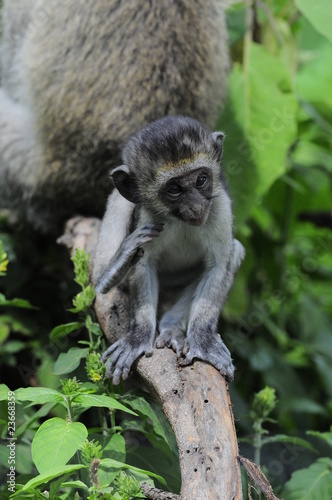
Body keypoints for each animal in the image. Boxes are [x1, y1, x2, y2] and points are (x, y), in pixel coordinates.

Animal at [92, 116, 245, 382]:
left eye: (201, 180)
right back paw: (110, 272)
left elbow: (219, 264)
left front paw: (203, 340)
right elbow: (144, 262)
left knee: (234, 252)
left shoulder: (219, 207)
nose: (196, 206)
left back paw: (172, 326)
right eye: (174, 189)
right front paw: (138, 336)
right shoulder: (148, 216)